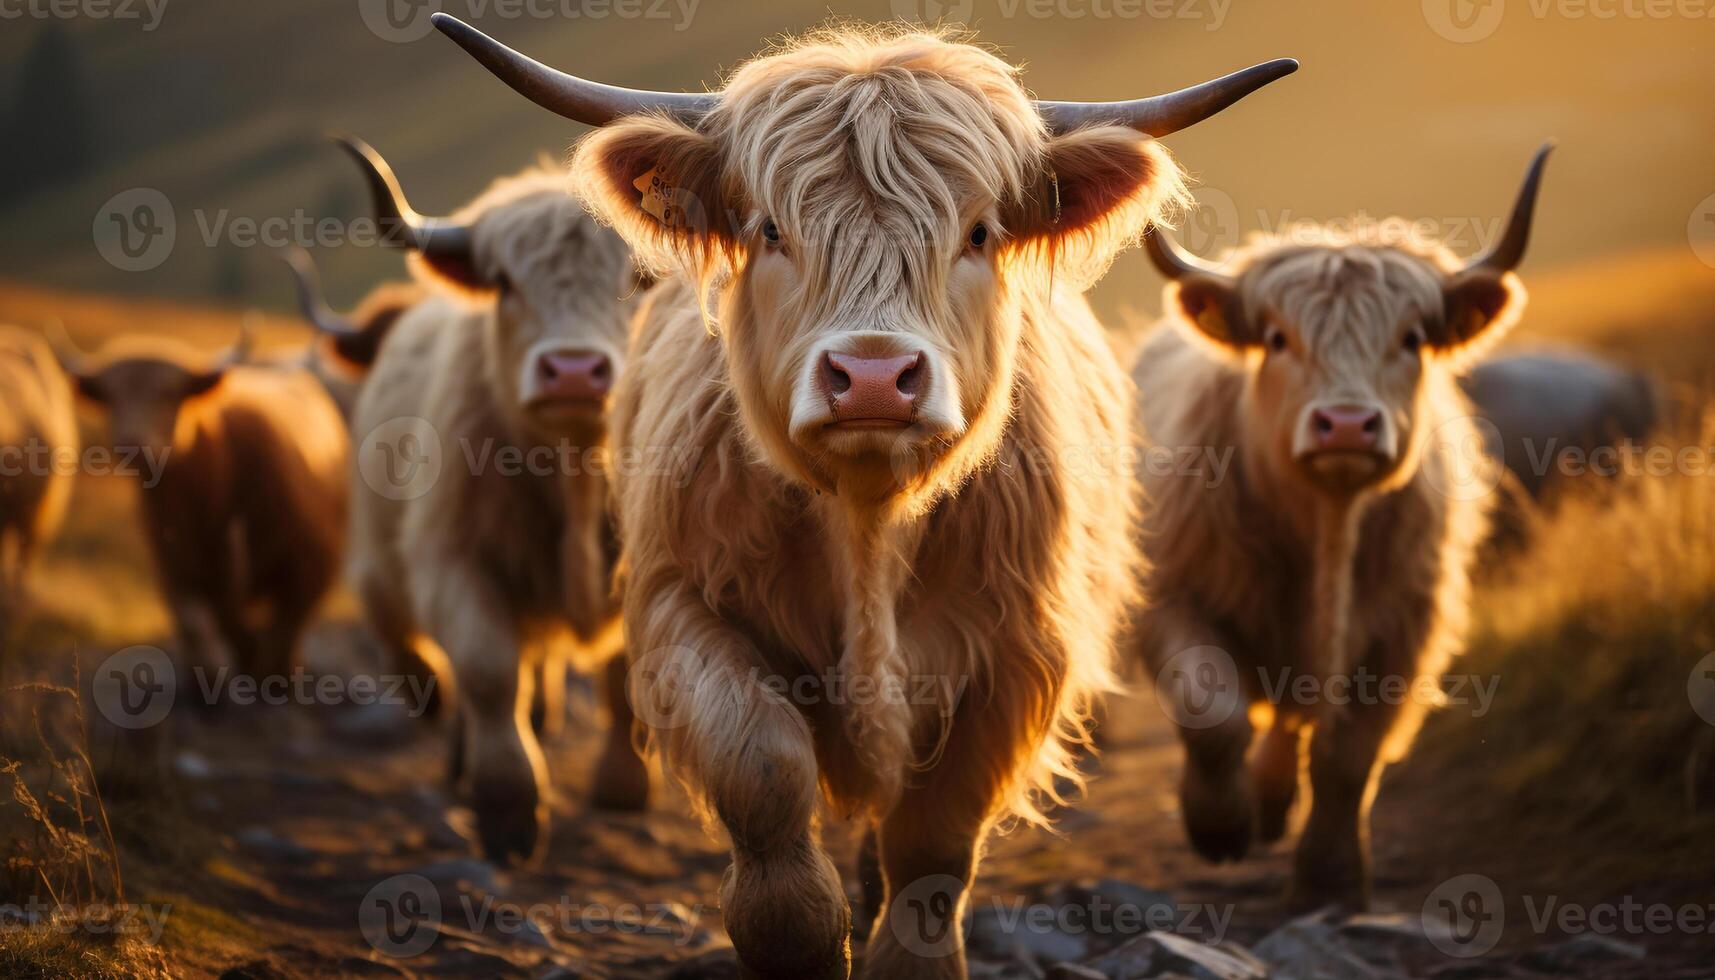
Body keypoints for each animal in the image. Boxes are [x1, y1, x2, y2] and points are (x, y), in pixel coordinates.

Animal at [54, 322, 348, 689]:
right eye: (111, 395)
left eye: (168, 393)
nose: (131, 443)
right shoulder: (173, 566)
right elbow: (195, 624)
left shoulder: (312, 566)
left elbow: (282, 632)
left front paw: (277, 676)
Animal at [337, 136, 651, 865]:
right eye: (505, 282)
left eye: (641, 279)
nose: (573, 371)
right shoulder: (455, 562)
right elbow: (487, 673)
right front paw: (508, 811)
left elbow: (624, 677)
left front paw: (622, 786)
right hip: (379, 558)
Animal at [435, 17, 1289, 980]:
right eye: (771, 229)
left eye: (980, 231)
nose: (874, 377)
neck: (866, 523)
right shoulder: (683, 606)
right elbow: (761, 769)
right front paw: (796, 935)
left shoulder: (1017, 649)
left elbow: (935, 837)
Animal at [1138, 145, 1557, 913]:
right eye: (1277, 339)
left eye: (1412, 338)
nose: (1346, 425)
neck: (1325, 533)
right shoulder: (1169, 595)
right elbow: (1212, 712)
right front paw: (1219, 827)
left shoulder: (1406, 630)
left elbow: (1347, 756)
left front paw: (1329, 879)